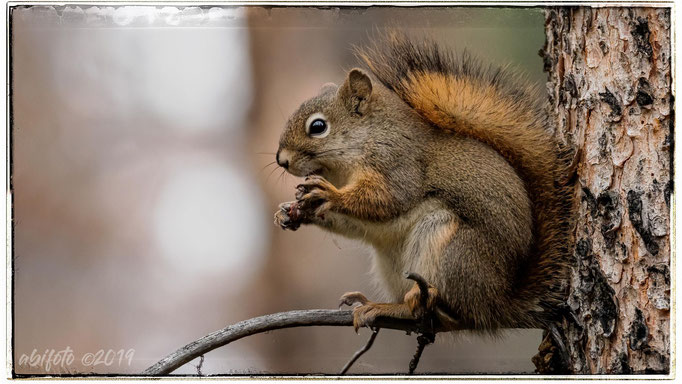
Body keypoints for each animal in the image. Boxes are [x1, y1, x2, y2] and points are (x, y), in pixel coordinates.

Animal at [270, 32, 572, 332]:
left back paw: (409, 302)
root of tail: (498, 306)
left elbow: (388, 198)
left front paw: (331, 195)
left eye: (318, 127)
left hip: (452, 249)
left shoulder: (398, 164)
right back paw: (380, 305)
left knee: (448, 312)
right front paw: (292, 212)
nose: (281, 160)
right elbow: (353, 224)